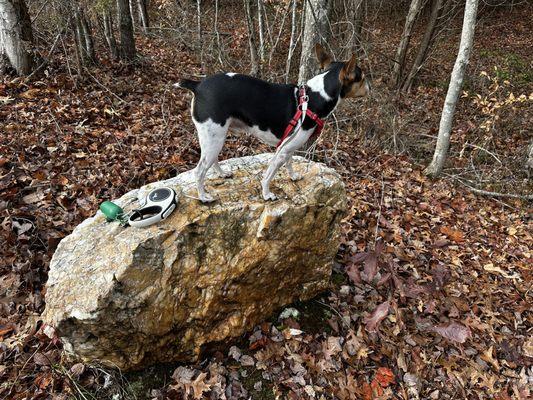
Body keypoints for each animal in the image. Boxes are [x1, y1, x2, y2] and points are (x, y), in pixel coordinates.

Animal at [177, 43, 368, 203]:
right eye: (362, 78)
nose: (369, 88)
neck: (314, 96)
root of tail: (198, 85)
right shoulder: (282, 150)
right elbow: (269, 175)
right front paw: (266, 194)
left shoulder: (288, 146)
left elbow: (290, 162)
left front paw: (293, 176)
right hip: (214, 138)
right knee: (199, 171)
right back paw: (203, 197)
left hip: (215, 138)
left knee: (211, 161)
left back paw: (222, 174)